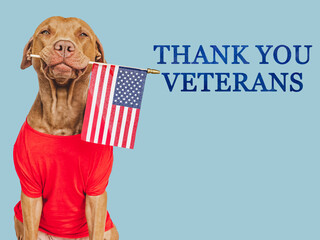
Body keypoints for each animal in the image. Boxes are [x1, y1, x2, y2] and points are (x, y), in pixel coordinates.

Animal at [13, 16, 119, 240]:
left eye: (83, 34)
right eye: (45, 32)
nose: (64, 46)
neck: (62, 108)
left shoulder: (96, 192)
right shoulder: (30, 191)